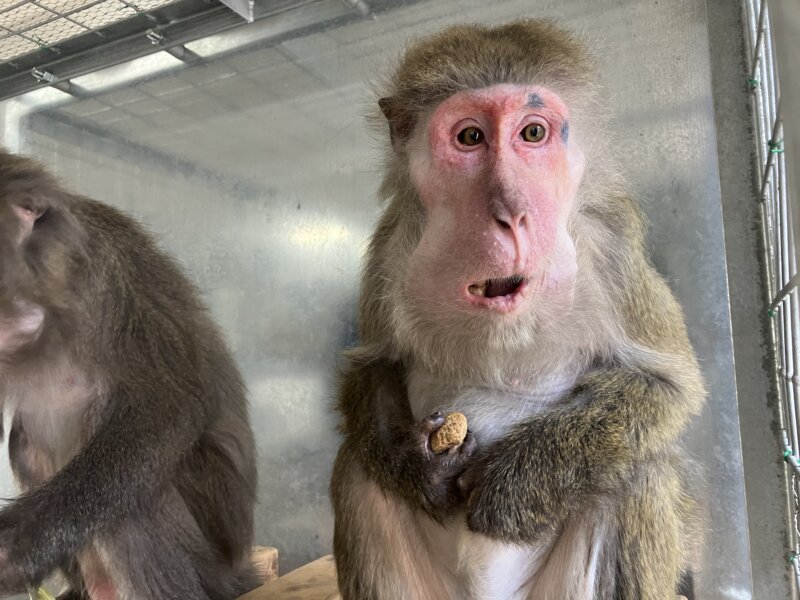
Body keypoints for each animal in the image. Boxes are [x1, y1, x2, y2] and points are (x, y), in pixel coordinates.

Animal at [0, 148, 258, 600]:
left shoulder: (105, 278)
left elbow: (166, 407)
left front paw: (18, 545)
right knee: (25, 443)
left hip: (212, 551)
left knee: (134, 503)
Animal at [330, 20, 705, 600]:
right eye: (470, 138)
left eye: (532, 134)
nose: (510, 211)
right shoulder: (392, 244)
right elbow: (375, 365)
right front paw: (415, 467)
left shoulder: (613, 243)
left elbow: (668, 387)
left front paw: (518, 483)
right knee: (357, 473)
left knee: (638, 472)